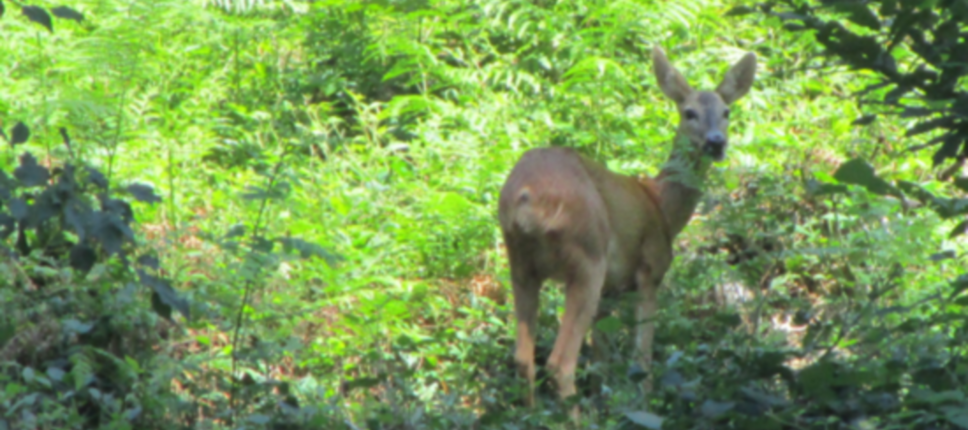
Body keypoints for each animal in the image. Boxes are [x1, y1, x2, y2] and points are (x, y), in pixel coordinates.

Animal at [500, 47, 756, 420]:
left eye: (726, 112)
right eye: (689, 112)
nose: (715, 142)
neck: (661, 205)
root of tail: (525, 198)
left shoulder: (612, 292)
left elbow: (603, 360)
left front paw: (605, 406)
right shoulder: (649, 272)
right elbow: (642, 359)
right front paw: (643, 407)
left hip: (520, 263)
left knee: (523, 358)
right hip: (587, 257)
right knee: (560, 362)